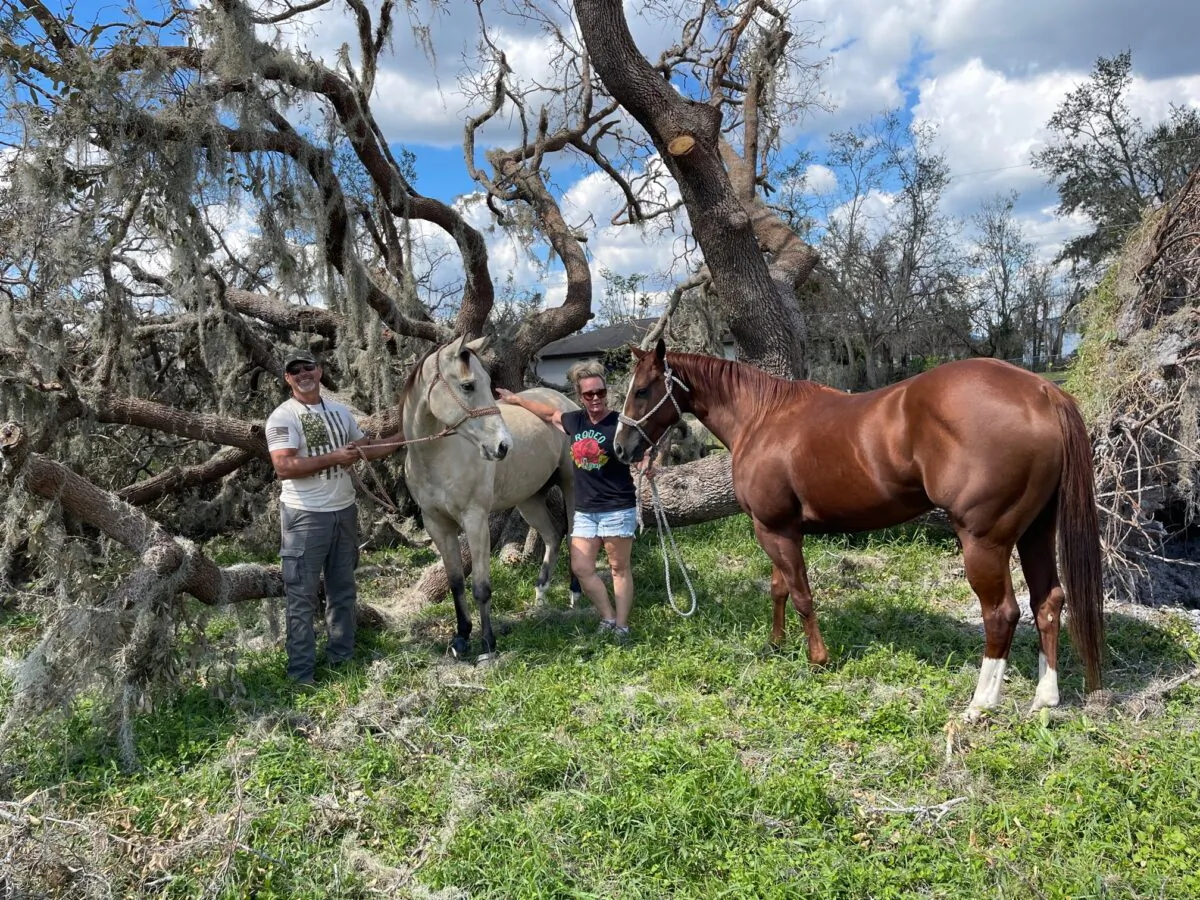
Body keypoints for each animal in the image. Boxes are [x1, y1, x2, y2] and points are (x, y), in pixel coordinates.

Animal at [401, 336, 580, 659]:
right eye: (468, 385)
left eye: (487, 382)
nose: (503, 446)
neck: (437, 458)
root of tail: (563, 403)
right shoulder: (437, 525)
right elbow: (456, 583)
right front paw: (461, 638)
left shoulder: (475, 521)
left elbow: (481, 587)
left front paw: (487, 645)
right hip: (530, 500)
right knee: (552, 536)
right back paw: (540, 595)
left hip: (570, 485)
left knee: (573, 535)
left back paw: (574, 594)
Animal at [613, 340, 1103, 721]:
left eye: (642, 390)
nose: (620, 447)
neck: (764, 417)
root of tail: (1041, 391)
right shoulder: (776, 527)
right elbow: (779, 589)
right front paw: (775, 645)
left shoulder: (775, 530)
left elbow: (802, 594)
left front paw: (817, 660)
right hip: (1036, 531)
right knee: (1048, 602)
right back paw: (1045, 697)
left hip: (984, 541)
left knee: (1001, 613)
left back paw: (980, 704)